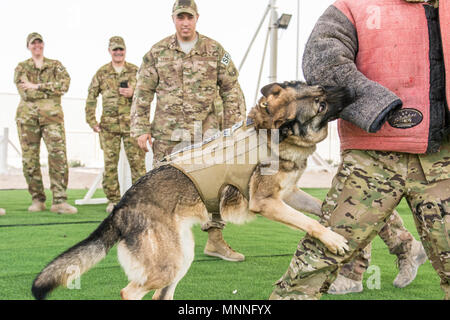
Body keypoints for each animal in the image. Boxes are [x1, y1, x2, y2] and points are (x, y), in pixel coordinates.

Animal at [30, 80, 356, 300]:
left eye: (322, 89)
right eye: (321, 105)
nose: (351, 88)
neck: (272, 136)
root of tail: (121, 208)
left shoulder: (288, 195)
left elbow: (317, 207)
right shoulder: (266, 203)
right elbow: (309, 222)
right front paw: (332, 239)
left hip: (180, 257)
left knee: (160, 294)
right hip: (167, 264)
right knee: (130, 292)